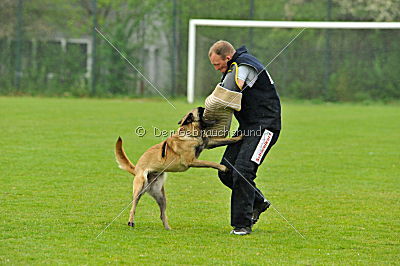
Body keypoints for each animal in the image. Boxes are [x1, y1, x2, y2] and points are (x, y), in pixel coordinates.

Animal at [114, 106, 242, 229]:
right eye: (201, 111)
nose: (208, 109)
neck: (191, 132)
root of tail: (136, 169)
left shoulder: (208, 143)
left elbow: (225, 140)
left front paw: (239, 137)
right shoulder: (192, 161)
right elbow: (210, 163)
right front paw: (223, 167)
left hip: (161, 197)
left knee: (162, 214)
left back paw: (168, 229)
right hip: (139, 189)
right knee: (133, 208)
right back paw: (131, 222)